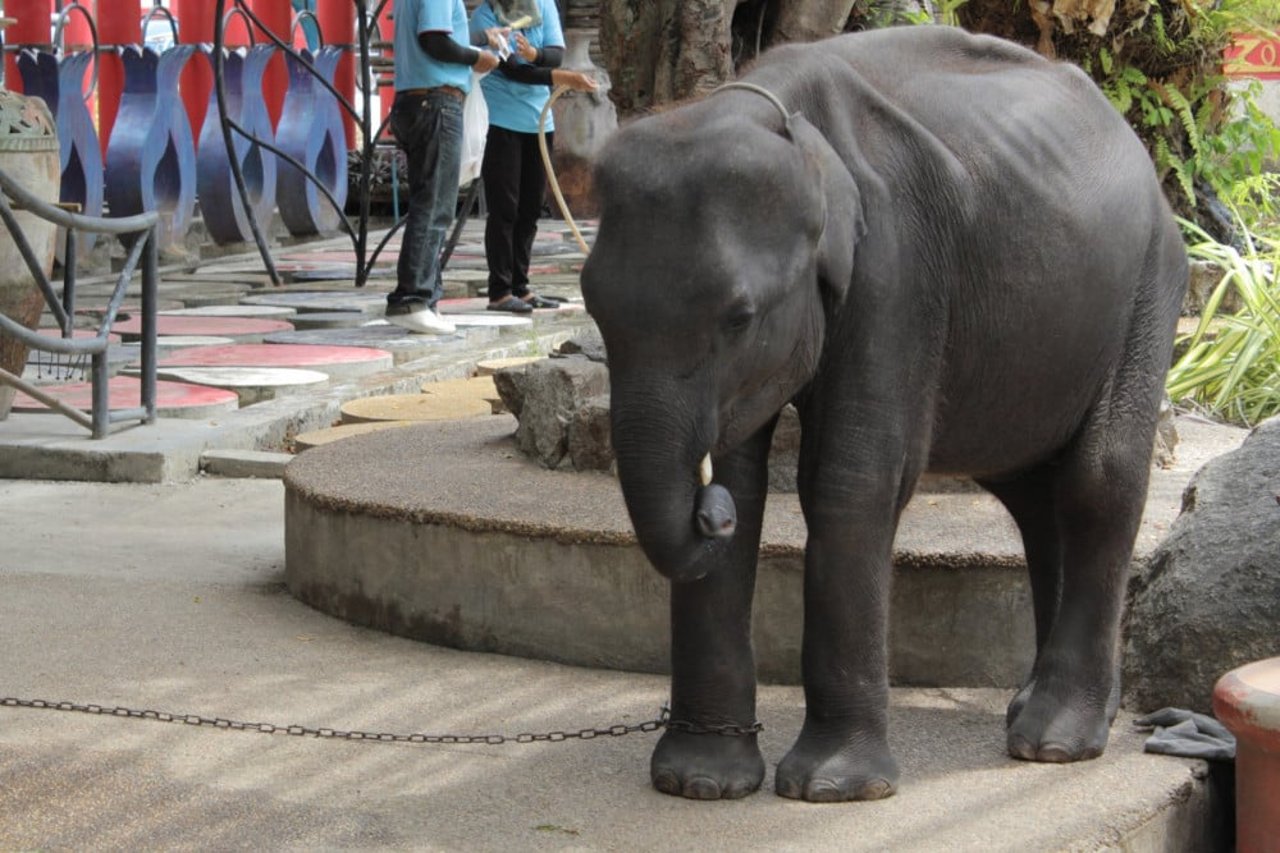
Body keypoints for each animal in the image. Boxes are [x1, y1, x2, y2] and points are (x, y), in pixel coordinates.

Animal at [581, 24, 1187, 799]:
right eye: (592, 306)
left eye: (740, 317)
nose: (705, 508)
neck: (780, 119)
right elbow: (749, 477)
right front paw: (701, 785)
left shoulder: (896, 268)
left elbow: (852, 480)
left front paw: (832, 789)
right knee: (1033, 493)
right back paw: (1047, 711)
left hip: (1149, 282)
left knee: (1097, 477)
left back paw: (1053, 741)